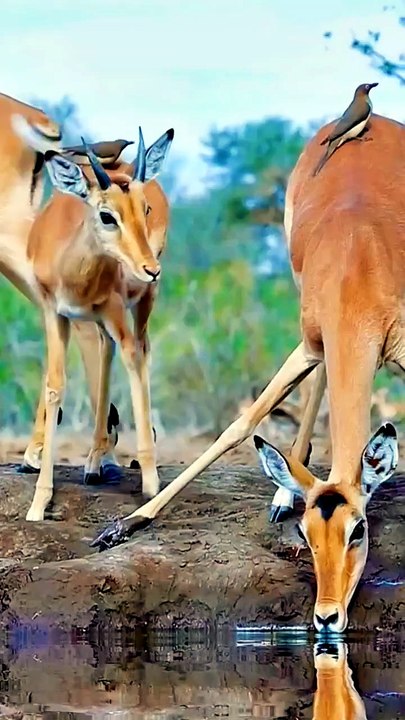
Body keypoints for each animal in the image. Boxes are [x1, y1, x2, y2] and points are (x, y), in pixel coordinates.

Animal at [11, 112, 173, 522]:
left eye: (144, 209)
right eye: (106, 215)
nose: (150, 269)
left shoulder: (115, 309)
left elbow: (133, 359)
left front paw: (151, 483)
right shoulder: (55, 313)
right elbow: (55, 387)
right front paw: (39, 502)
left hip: (141, 303)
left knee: (139, 350)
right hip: (98, 319)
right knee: (105, 351)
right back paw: (94, 462)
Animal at [93, 111, 404, 634]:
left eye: (358, 529)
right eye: (306, 534)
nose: (326, 617)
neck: (359, 263)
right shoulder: (309, 345)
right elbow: (240, 425)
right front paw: (125, 525)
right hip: (313, 336)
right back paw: (283, 491)